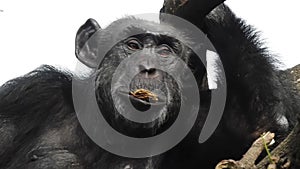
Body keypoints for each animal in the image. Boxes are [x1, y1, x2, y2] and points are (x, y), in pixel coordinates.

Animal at [0, 2, 300, 169]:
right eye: (133, 45)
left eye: (165, 52)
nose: (147, 66)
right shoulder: (30, 97)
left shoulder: (196, 123)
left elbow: (264, 130)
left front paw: (211, 13)